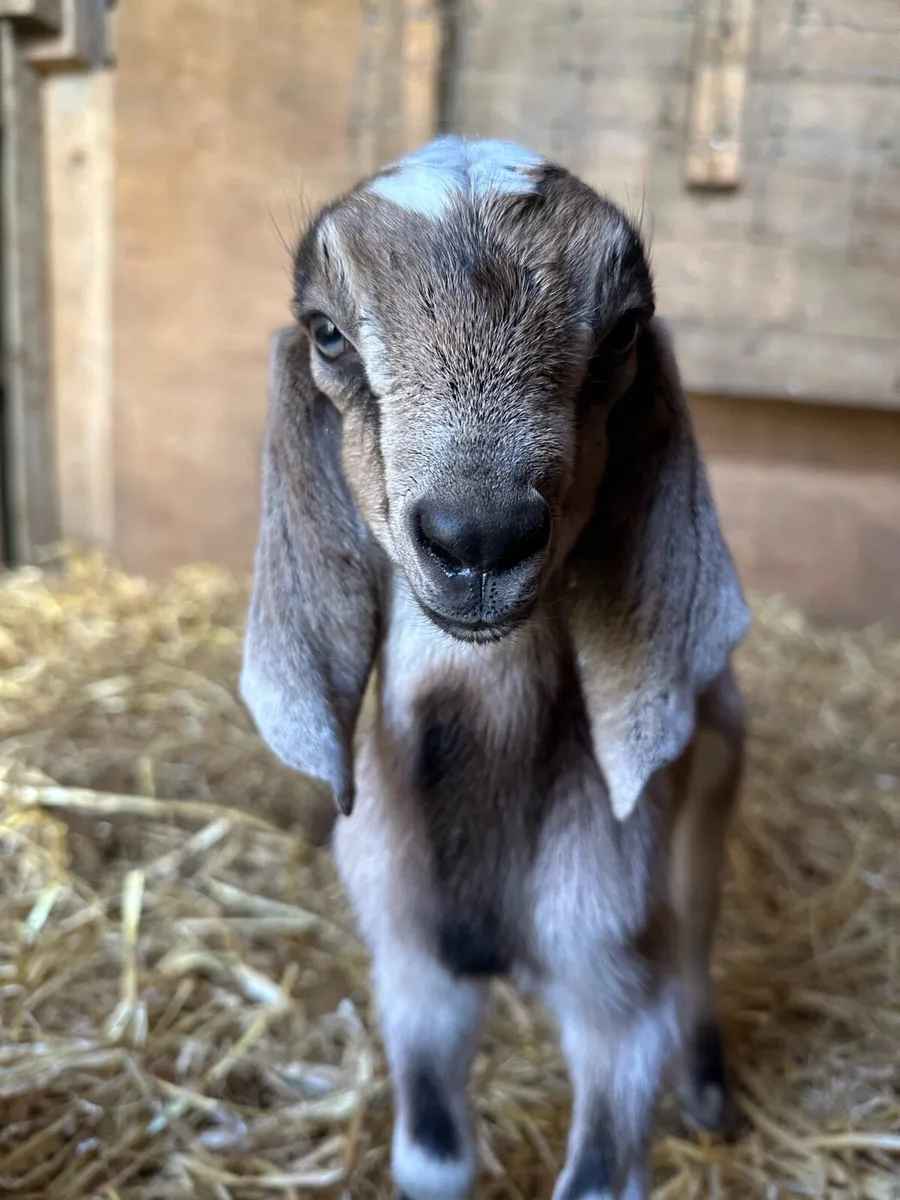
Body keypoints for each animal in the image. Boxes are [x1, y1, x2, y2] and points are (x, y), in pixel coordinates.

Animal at [241, 136, 750, 1200]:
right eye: (327, 333)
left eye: (623, 332)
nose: (478, 538)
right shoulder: (414, 970)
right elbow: (432, 1156)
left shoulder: (616, 1000)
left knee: (695, 935)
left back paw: (709, 1093)